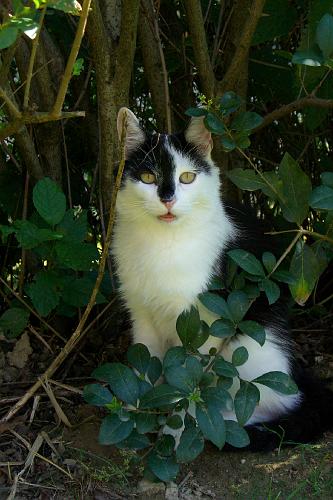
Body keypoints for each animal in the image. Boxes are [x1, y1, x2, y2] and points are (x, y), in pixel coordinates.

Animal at [113, 106, 330, 450]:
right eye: (148, 177)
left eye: (187, 177)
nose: (168, 198)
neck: (163, 242)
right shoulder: (141, 315)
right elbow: (144, 364)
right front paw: (136, 413)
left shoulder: (203, 325)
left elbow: (191, 381)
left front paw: (177, 431)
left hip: (253, 350)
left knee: (271, 402)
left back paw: (223, 426)